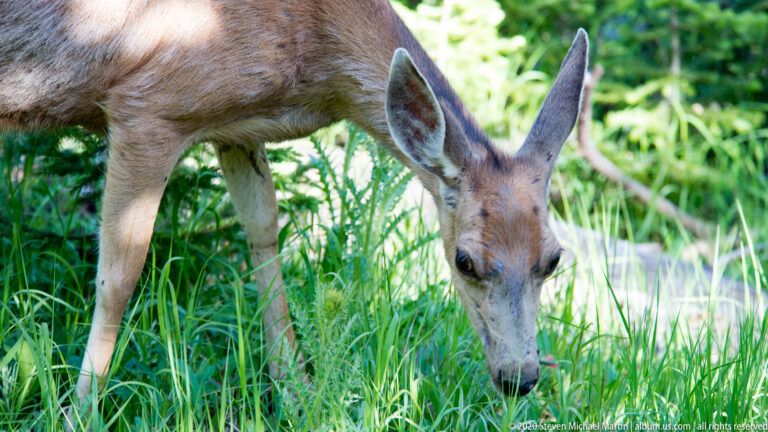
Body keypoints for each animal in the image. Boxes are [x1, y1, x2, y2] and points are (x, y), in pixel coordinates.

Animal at [0, 0, 587, 404]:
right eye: (464, 261)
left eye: (554, 259)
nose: (521, 377)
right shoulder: (146, 108)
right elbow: (119, 275)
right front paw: (82, 408)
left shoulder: (234, 127)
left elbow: (263, 228)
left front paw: (296, 385)